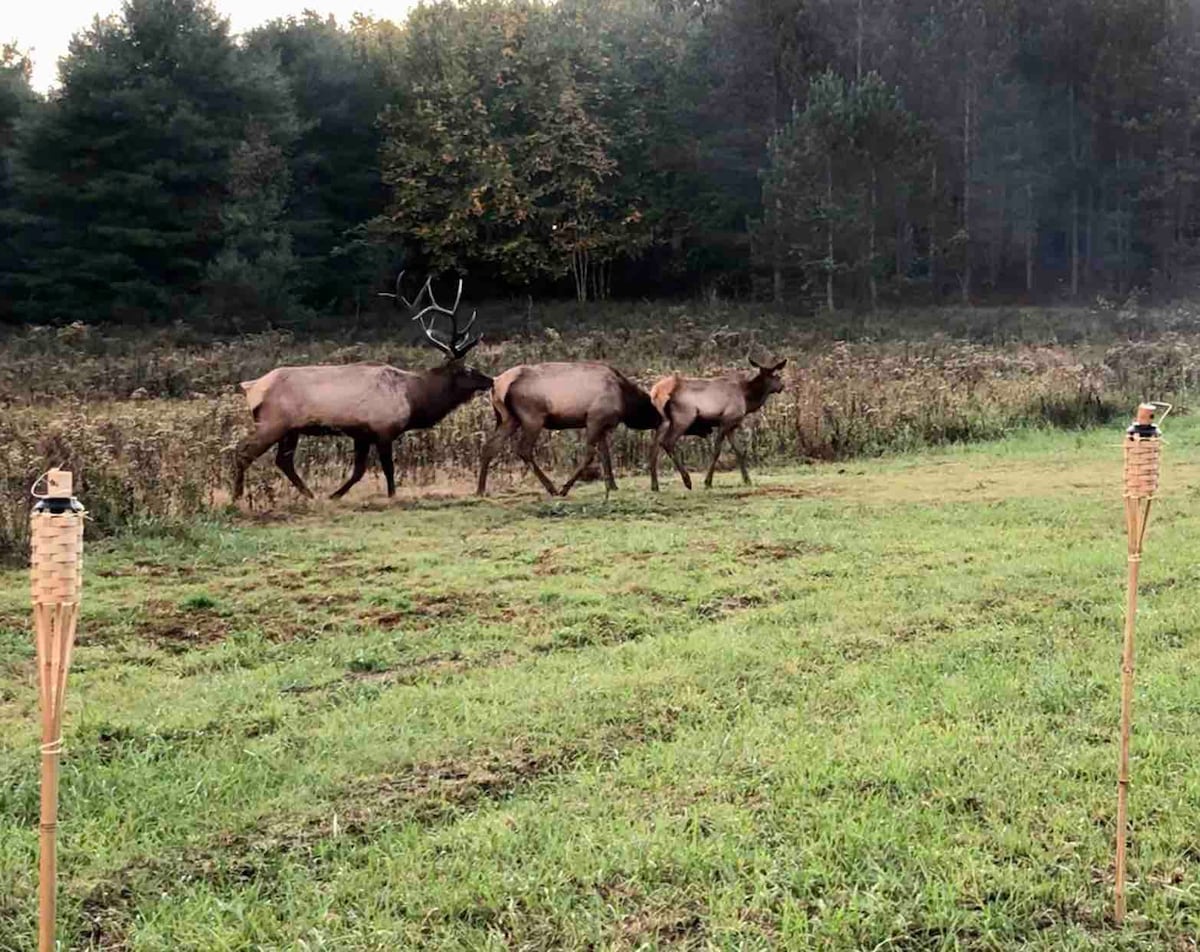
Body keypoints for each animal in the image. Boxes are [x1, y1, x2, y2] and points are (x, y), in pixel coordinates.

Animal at [231, 272, 489, 501]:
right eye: (468, 370)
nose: (489, 380)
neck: (413, 399)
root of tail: (250, 387)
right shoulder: (384, 429)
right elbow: (388, 469)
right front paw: (392, 496)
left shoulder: (361, 434)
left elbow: (358, 471)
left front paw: (335, 495)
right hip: (273, 423)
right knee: (244, 450)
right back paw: (237, 497)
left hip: (290, 429)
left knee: (283, 461)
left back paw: (310, 495)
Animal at [477, 362, 667, 497]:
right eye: (656, 412)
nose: (662, 421)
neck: (626, 402)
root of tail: (496, 385)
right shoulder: (594, 419)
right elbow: (590, 455)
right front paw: (565, 488)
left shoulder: (602, 425)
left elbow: (605, 455)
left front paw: (612, 485)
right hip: (532, 417)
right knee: (523, 449)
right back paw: (552, 488)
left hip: (509, 418)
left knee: (489, 447)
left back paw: (480, 490)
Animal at [648, 355, 787, 489]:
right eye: (777, 376)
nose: (782, 386)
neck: (747, 400)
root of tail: (656, 391)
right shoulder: (726, 420)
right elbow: (717, 451)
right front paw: (708, 482)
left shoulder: (731, 426)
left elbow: (739, 451)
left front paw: (747, 480)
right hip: (683, 417)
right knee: (667, 442)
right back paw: (687, 481)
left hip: (664, 421)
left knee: (654, 447)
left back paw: (655, 485)